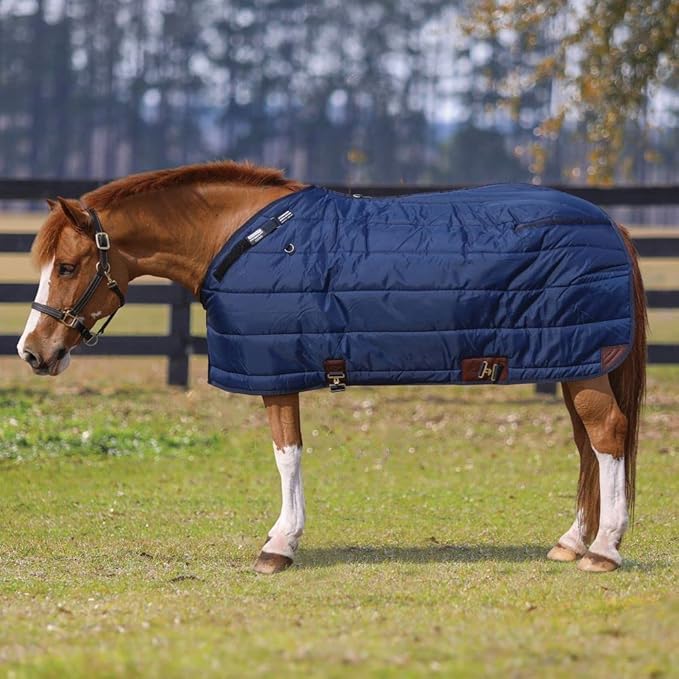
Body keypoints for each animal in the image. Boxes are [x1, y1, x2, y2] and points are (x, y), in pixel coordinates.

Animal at [17, 161, 646, 575]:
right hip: (574, 362)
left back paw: (604, 550)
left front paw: (280, 545)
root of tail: (612, 225)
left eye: (67, 266)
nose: (31, 351)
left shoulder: (277, 373)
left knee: (608, 435)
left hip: (584, 366)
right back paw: (573, 542)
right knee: (589, 446)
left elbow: (287, 454)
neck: (244, 241)